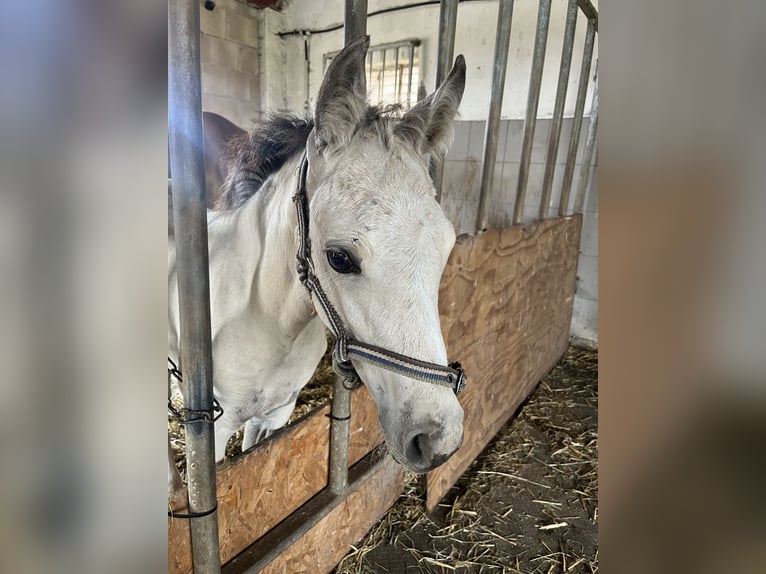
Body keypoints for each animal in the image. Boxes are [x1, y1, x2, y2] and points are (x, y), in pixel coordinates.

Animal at [168, 36, 468, 496]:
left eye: (446, 246)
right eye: (339, 258)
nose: (437, 440)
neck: (267, 325)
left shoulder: (274, 415)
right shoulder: (213, 435)